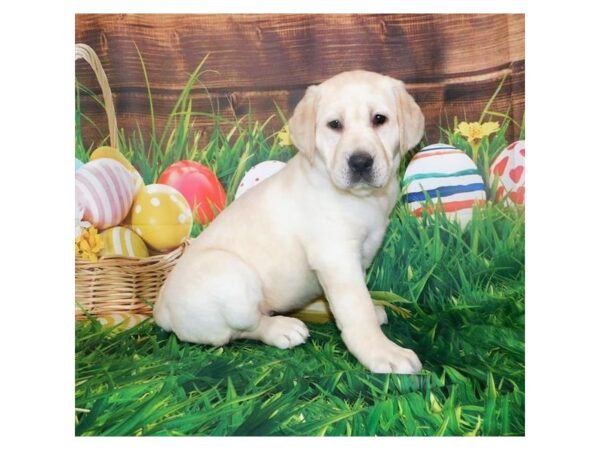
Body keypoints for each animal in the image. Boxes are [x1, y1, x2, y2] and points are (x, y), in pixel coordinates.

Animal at [155, 69, 426, 372]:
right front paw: (382, 352)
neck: (361, 198)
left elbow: (357, 299)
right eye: (334, 125)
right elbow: (357, 308)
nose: (360, 162)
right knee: (243, 328)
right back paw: (281, 329)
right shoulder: (337, 257)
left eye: (379, 119)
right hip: (232, 276)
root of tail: (160, 310)